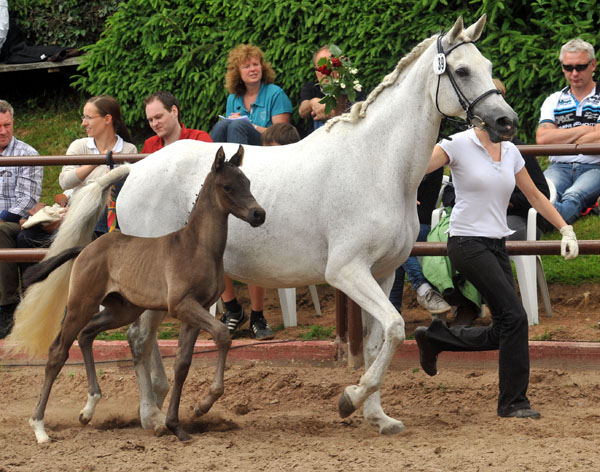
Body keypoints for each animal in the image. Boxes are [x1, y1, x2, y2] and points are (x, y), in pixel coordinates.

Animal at [25, 147, 264, 442]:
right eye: (228, 186)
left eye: (248, 183)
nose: (259, 214)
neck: (199, 246)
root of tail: (87, 248)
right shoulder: (182, 305)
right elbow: (222, 334)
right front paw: (202, 405)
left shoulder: (195, 310)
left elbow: (183, 364)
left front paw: (176, 426)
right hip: (82, 303)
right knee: (58, 351)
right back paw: (39, 427)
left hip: (121, 309)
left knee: (87, 334)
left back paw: (89, 407)